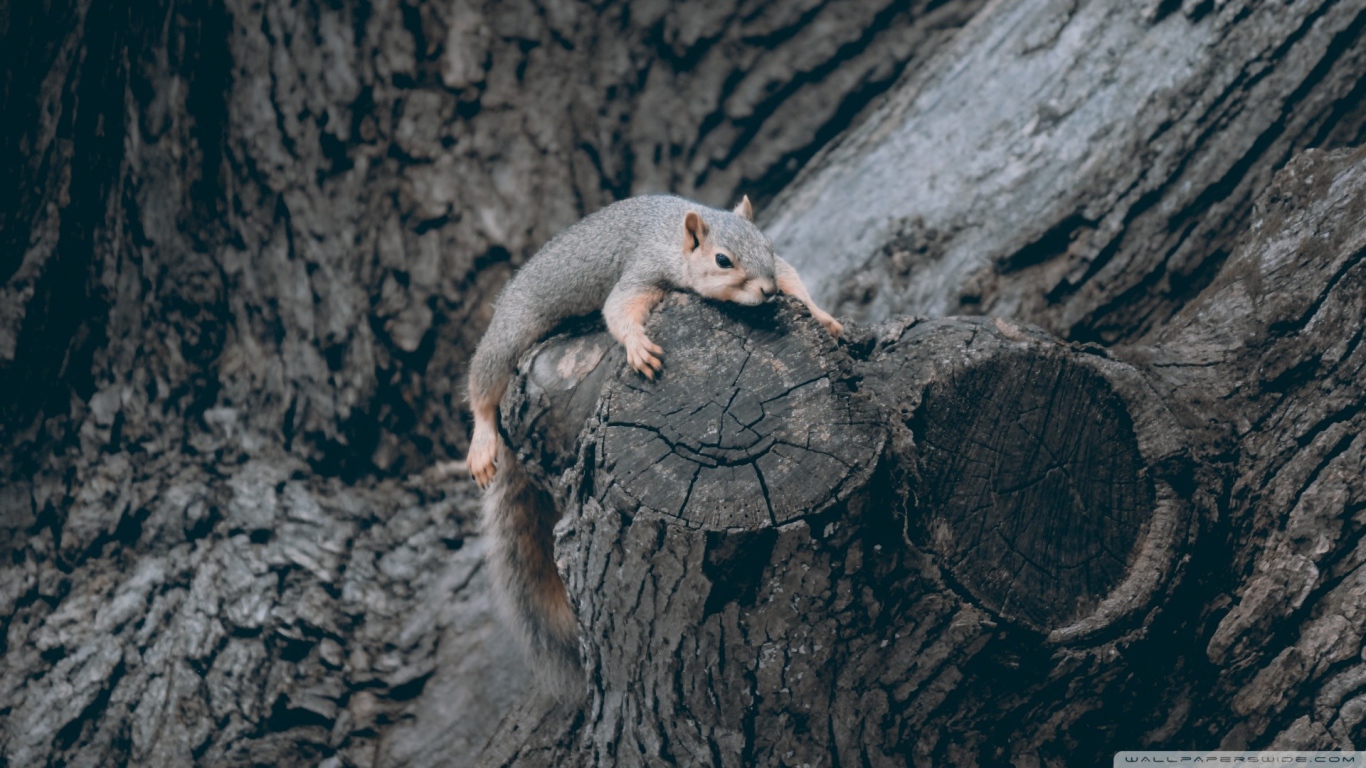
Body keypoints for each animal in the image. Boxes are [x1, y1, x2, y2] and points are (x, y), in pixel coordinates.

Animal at [464, 192, 835, 694]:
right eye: (722, 260)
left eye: (768, 245)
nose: (766, 292)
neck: (675, 239)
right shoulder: (643, 267)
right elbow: (619, 307)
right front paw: (638, 346)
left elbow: (793, 276)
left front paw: (822, 315)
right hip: (510, 333)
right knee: (482, 388)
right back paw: (482, 442)